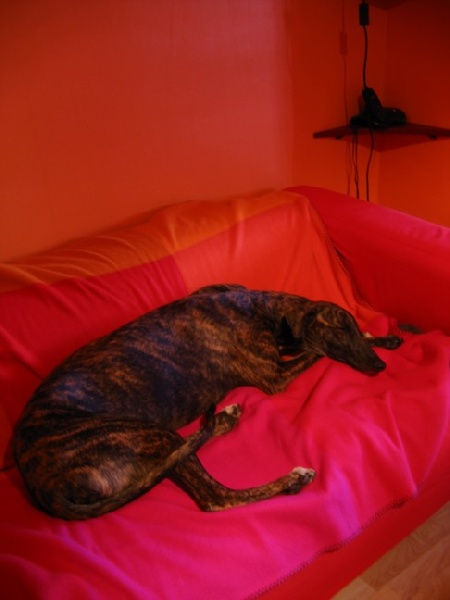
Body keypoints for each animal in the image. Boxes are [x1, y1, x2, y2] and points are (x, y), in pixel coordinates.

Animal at [13, 284, 402, 520]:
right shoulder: (275, 376)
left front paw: (384, 337)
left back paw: (223, 419)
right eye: (339, 330)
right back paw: (292, 479)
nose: (380, 366)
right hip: (139, 435)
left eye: (352, 327)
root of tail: (41, 486)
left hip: (155, 446)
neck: (258, 307)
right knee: (216, 496)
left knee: (191, 447)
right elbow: (317, 351)